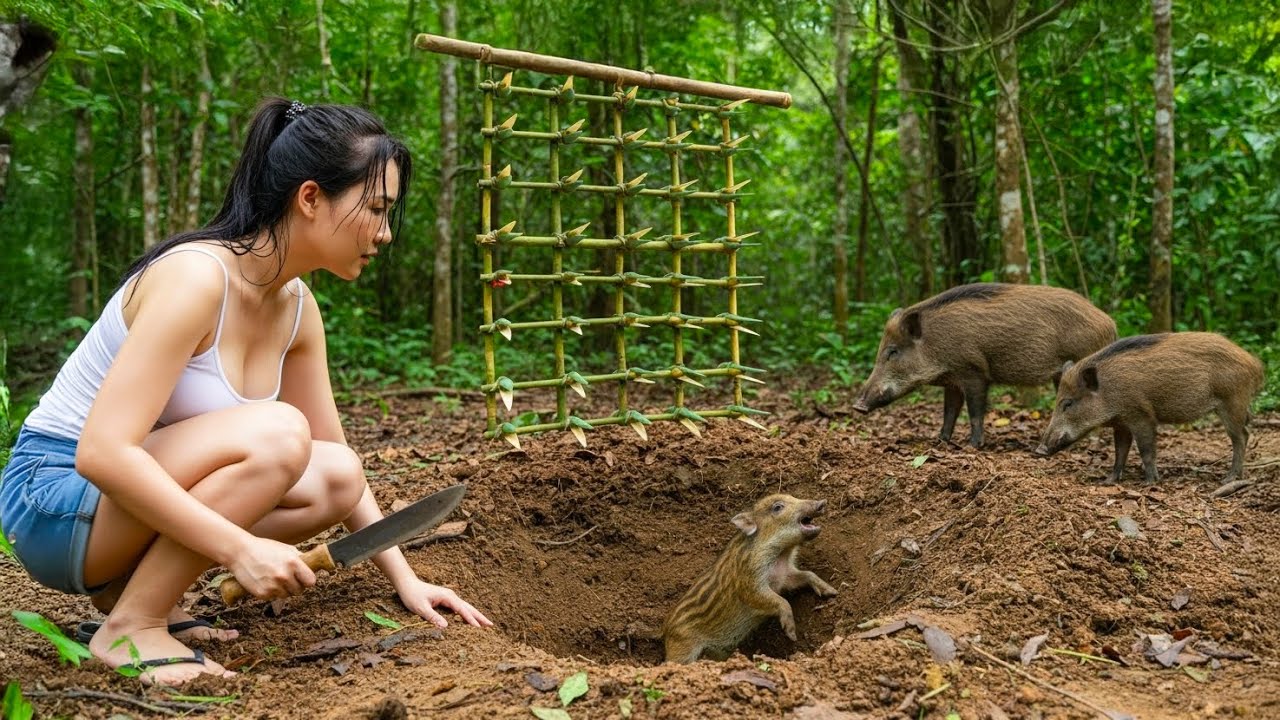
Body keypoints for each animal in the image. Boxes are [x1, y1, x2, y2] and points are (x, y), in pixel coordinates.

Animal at [661, 494, 837, 664]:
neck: (781, 554)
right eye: (777, 507)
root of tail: (665, 629)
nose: (822, 502)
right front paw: (791, 634)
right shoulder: (750, 585)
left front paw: (832, 592)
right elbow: (780, 601)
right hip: (683, 648)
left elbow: (808, 574)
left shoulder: (785, 576)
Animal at [853, 283, 1117, 446]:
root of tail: (1110, 323)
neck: (935, 344)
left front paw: (974, 445)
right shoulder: (953, 381)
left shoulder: (974, 372)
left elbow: (975, 411)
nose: (857, 406)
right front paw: (941, 441)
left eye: (893, 351)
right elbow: (949, 411)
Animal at [1035, 332, 1265, 485]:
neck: (1109, 391)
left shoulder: (1141, 416)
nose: (1039, 450)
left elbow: (1146, 449)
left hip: (1232, 403)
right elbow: (1120, 452)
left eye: (1068, 403)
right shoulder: (1122, 424)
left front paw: (1149, 483)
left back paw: (1228, 479)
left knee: (1241, 436)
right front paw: (1108, 481)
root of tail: (1254, 363)